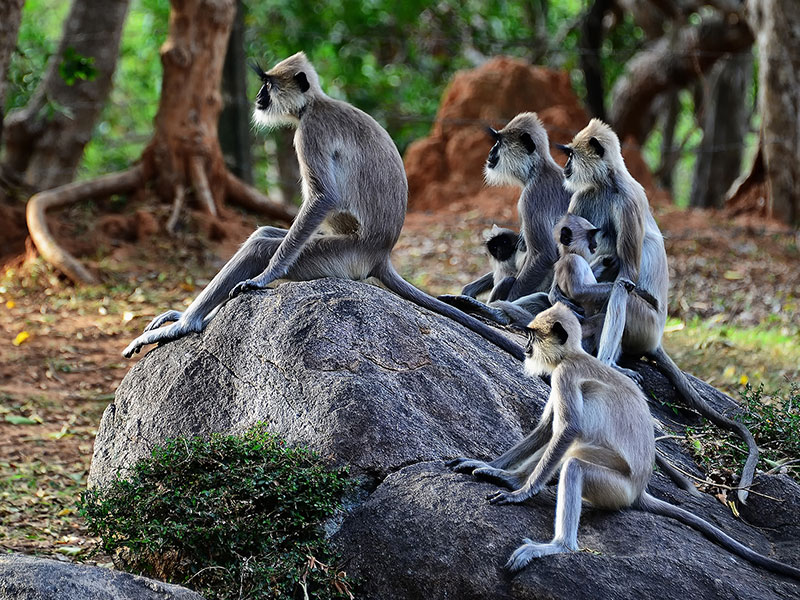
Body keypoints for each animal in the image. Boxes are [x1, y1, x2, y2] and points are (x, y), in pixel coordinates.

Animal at [120, 51, 524, 360]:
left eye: (268, 84)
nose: (258, 97)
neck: (314, 104)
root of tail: (380, 254)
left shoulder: (309, 130)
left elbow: (322, 198)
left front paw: (264, 277)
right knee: (265, 233)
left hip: (340, 258)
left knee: (261, 245)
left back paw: (185, 324)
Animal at [446, 302, 800, 580]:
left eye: (532, 336)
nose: (526, 349)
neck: (574, 355)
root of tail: (639, 490)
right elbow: (547, 430)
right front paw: (494, 469)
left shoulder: (564, 374)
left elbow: (566, 430)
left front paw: (519, 493)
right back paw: (508, 478)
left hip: (614, 487)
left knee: (574, 460)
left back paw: (557, 545)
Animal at [556, 117, 756, 502]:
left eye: (571, 154)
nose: (567, 166)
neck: (608, 184)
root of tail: (656, 339)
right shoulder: (583, 196)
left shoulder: (628, 202)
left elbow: (628, 274)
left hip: (644, 323)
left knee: (625, 290)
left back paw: (608, 362)